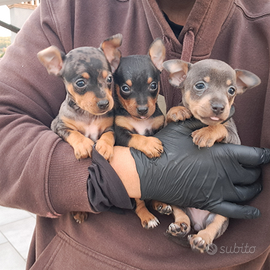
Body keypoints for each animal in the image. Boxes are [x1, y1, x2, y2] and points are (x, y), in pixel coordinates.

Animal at [114, 38, 171, 228]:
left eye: (153, 85)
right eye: (125, 88)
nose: (143, 110)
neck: (140, 120)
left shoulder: (158, 125)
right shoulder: (120, 134)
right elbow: (136, 136)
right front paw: (150, 145)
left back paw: (161, 204)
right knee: (139, 202)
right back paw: (147, 216)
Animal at [161, 59, 260, 253]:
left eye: (232, 90)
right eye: (200, 85)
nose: (219, 107)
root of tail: (198, 222)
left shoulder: (234, 138)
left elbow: (219, 126)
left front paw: (207, 133)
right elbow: (171, 116)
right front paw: (177, 111)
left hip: (222, 212)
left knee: (212, 226)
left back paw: (202, 239)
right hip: (175, 197)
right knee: (182, 215)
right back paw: (180, 227)